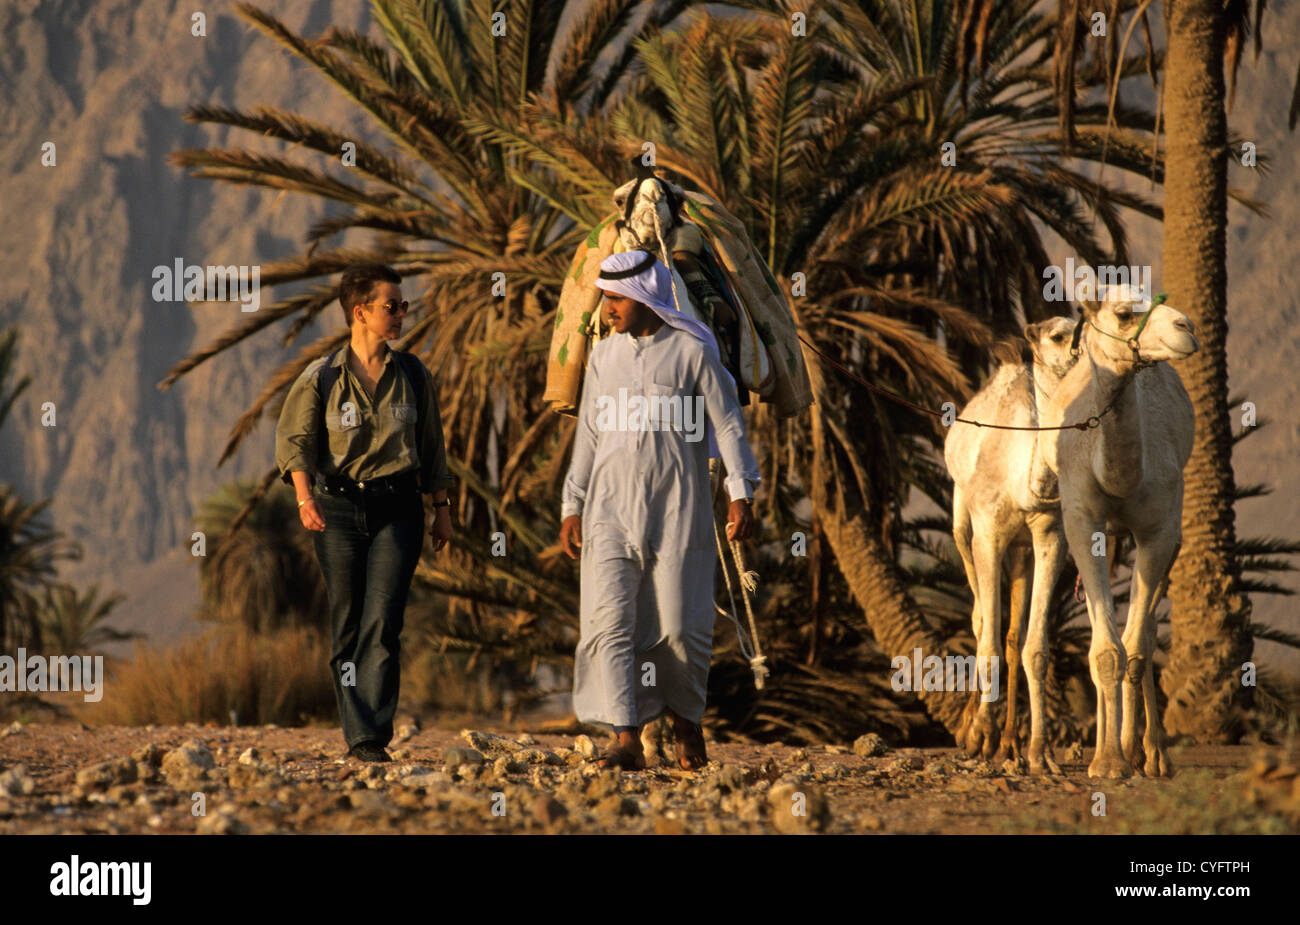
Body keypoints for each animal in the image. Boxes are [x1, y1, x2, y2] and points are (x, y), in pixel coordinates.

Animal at [946, 318, 1076, 774]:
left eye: (1080, 327)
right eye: (1057, 335)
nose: (1078, 349)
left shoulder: (1050, 535)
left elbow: (1033, 646)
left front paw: (1040, 753)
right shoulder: (987, 532)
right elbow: (986, 634)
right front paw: (977, 735)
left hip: (1021, 551)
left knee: (1012, 634)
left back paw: (1010, 745)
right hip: (962, 521)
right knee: (980, 619)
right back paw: (974, 731)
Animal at [1034, 283, 1196, 779]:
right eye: (1124, 314)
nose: (1186, 327)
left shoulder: (1160, 530)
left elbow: (1137, 647)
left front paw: (1128, 755)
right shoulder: (1082, 519)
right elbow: (1106, 650)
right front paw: (1106, 762)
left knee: (1145, 632)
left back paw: (1149, 753)